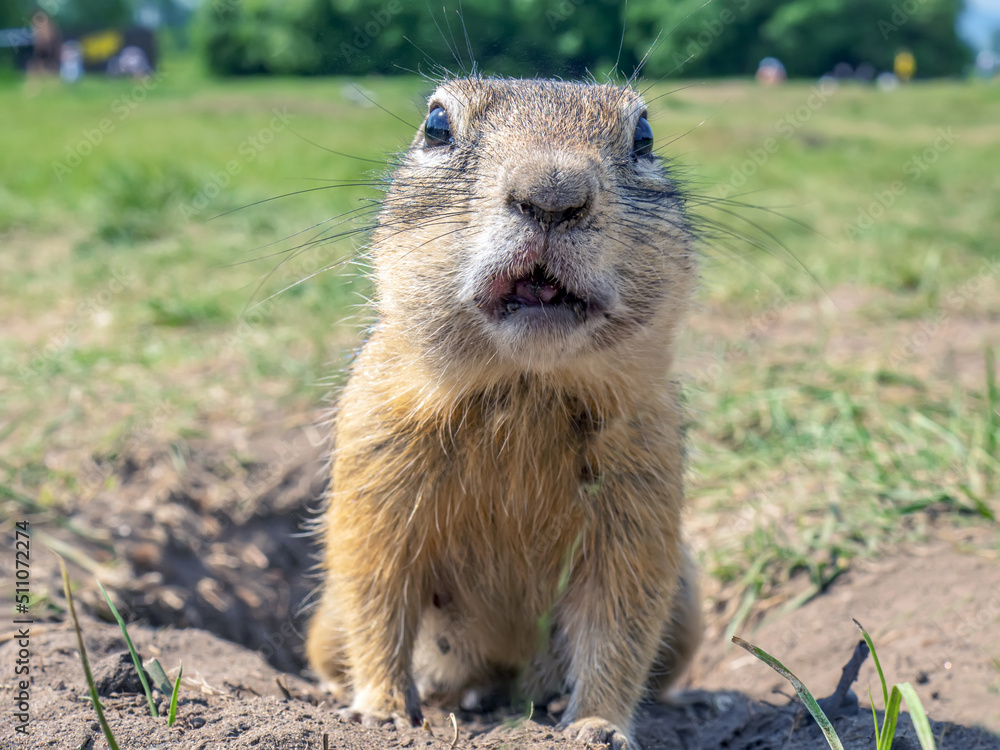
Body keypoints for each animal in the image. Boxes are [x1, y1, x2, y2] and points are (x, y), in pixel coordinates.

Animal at [306, 73, 704, 748]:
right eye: (436, 125)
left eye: (645, 136)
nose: (553, 194)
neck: (523, 389)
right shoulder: (375, 458)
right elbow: (375, 590)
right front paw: (383, 710)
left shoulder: (642, 486)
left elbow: (622, 618)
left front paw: (597, 724)